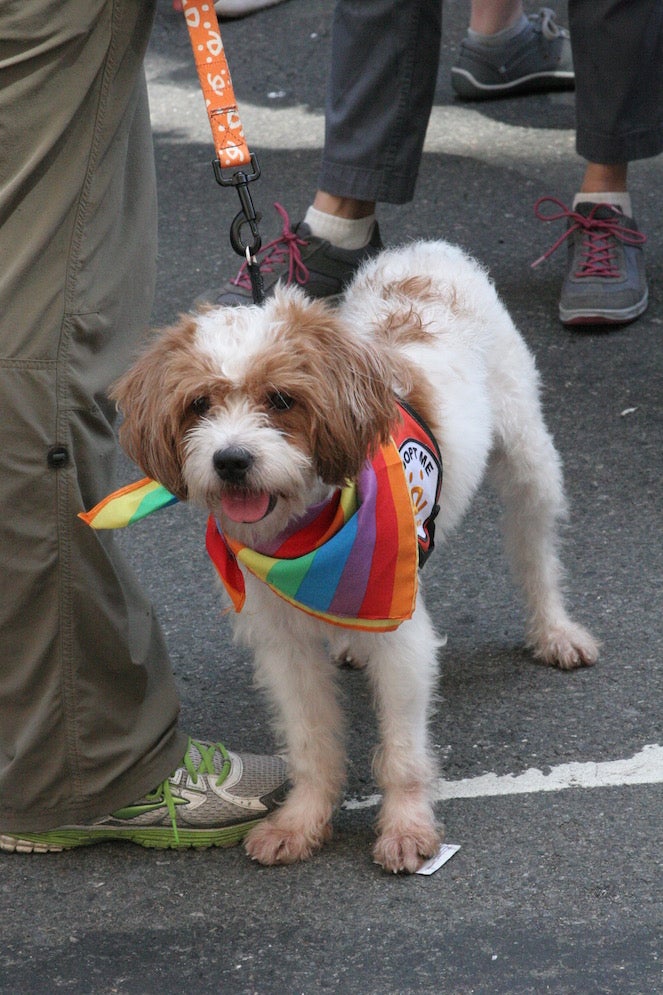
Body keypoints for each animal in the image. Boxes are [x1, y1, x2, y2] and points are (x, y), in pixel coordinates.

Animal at [114, 241, 600, 872]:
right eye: (199, 404)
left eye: (281, 399)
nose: (231, 460)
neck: (303, 539)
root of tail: (427, 251)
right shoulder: (282, 641)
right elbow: (309, 741)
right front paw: (301, 821)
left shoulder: (402, 634)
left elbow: (402, 752)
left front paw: (407, 827)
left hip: (528, 459)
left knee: (535, 553)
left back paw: (555, 630)